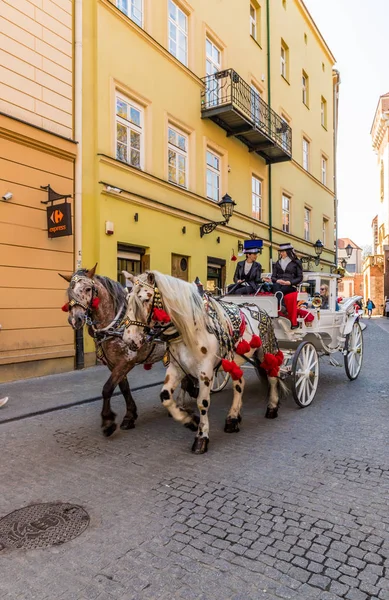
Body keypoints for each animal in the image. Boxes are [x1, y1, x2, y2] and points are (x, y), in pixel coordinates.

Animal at [121, 270, 284, 452]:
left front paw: (201, 437)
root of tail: (259, 308)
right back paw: (233, 418)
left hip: (266, 351)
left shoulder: (205, 371)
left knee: (272, 376)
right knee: (239, 383)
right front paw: (190, 420)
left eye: (145, 299)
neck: (189, 328)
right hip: (234, 360)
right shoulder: (176, 368)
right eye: (127, 299)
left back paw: (272, 407)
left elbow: (202, 403)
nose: (128, 340)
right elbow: (165, 396)